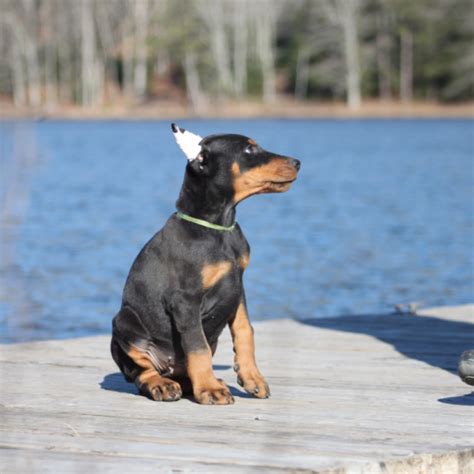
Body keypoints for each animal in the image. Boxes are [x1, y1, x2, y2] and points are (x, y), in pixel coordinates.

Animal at [110, 125, 300, 404]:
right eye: (249, 149)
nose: (297, 162)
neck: (219, 227)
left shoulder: (237, 286)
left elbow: (245, 330)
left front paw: (252, 378)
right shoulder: (185, 299)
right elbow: (197, 346)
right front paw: (209, 390)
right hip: (124, 321)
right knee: (140, 373)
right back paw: (163, 385)